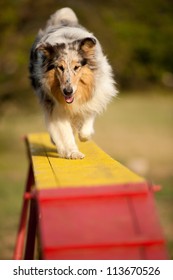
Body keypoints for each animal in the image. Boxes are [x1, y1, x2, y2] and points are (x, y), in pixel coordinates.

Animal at [29, 6, 117, 159]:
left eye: (77, 67)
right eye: (60, 67)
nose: (67, 91)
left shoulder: (95, 95)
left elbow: (87, 118)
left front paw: (84, 135)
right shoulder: (56, 107)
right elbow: (65, 133)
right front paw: (72, 152)